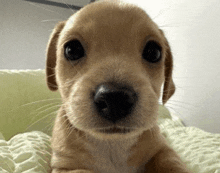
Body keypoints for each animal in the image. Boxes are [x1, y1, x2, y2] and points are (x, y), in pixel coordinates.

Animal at [46, 0, 191, 173]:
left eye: (154, 52)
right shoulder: (65, 167)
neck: (113, 144)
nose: (114, 99)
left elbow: (171, 162)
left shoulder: (162, 149)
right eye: (72, 49)